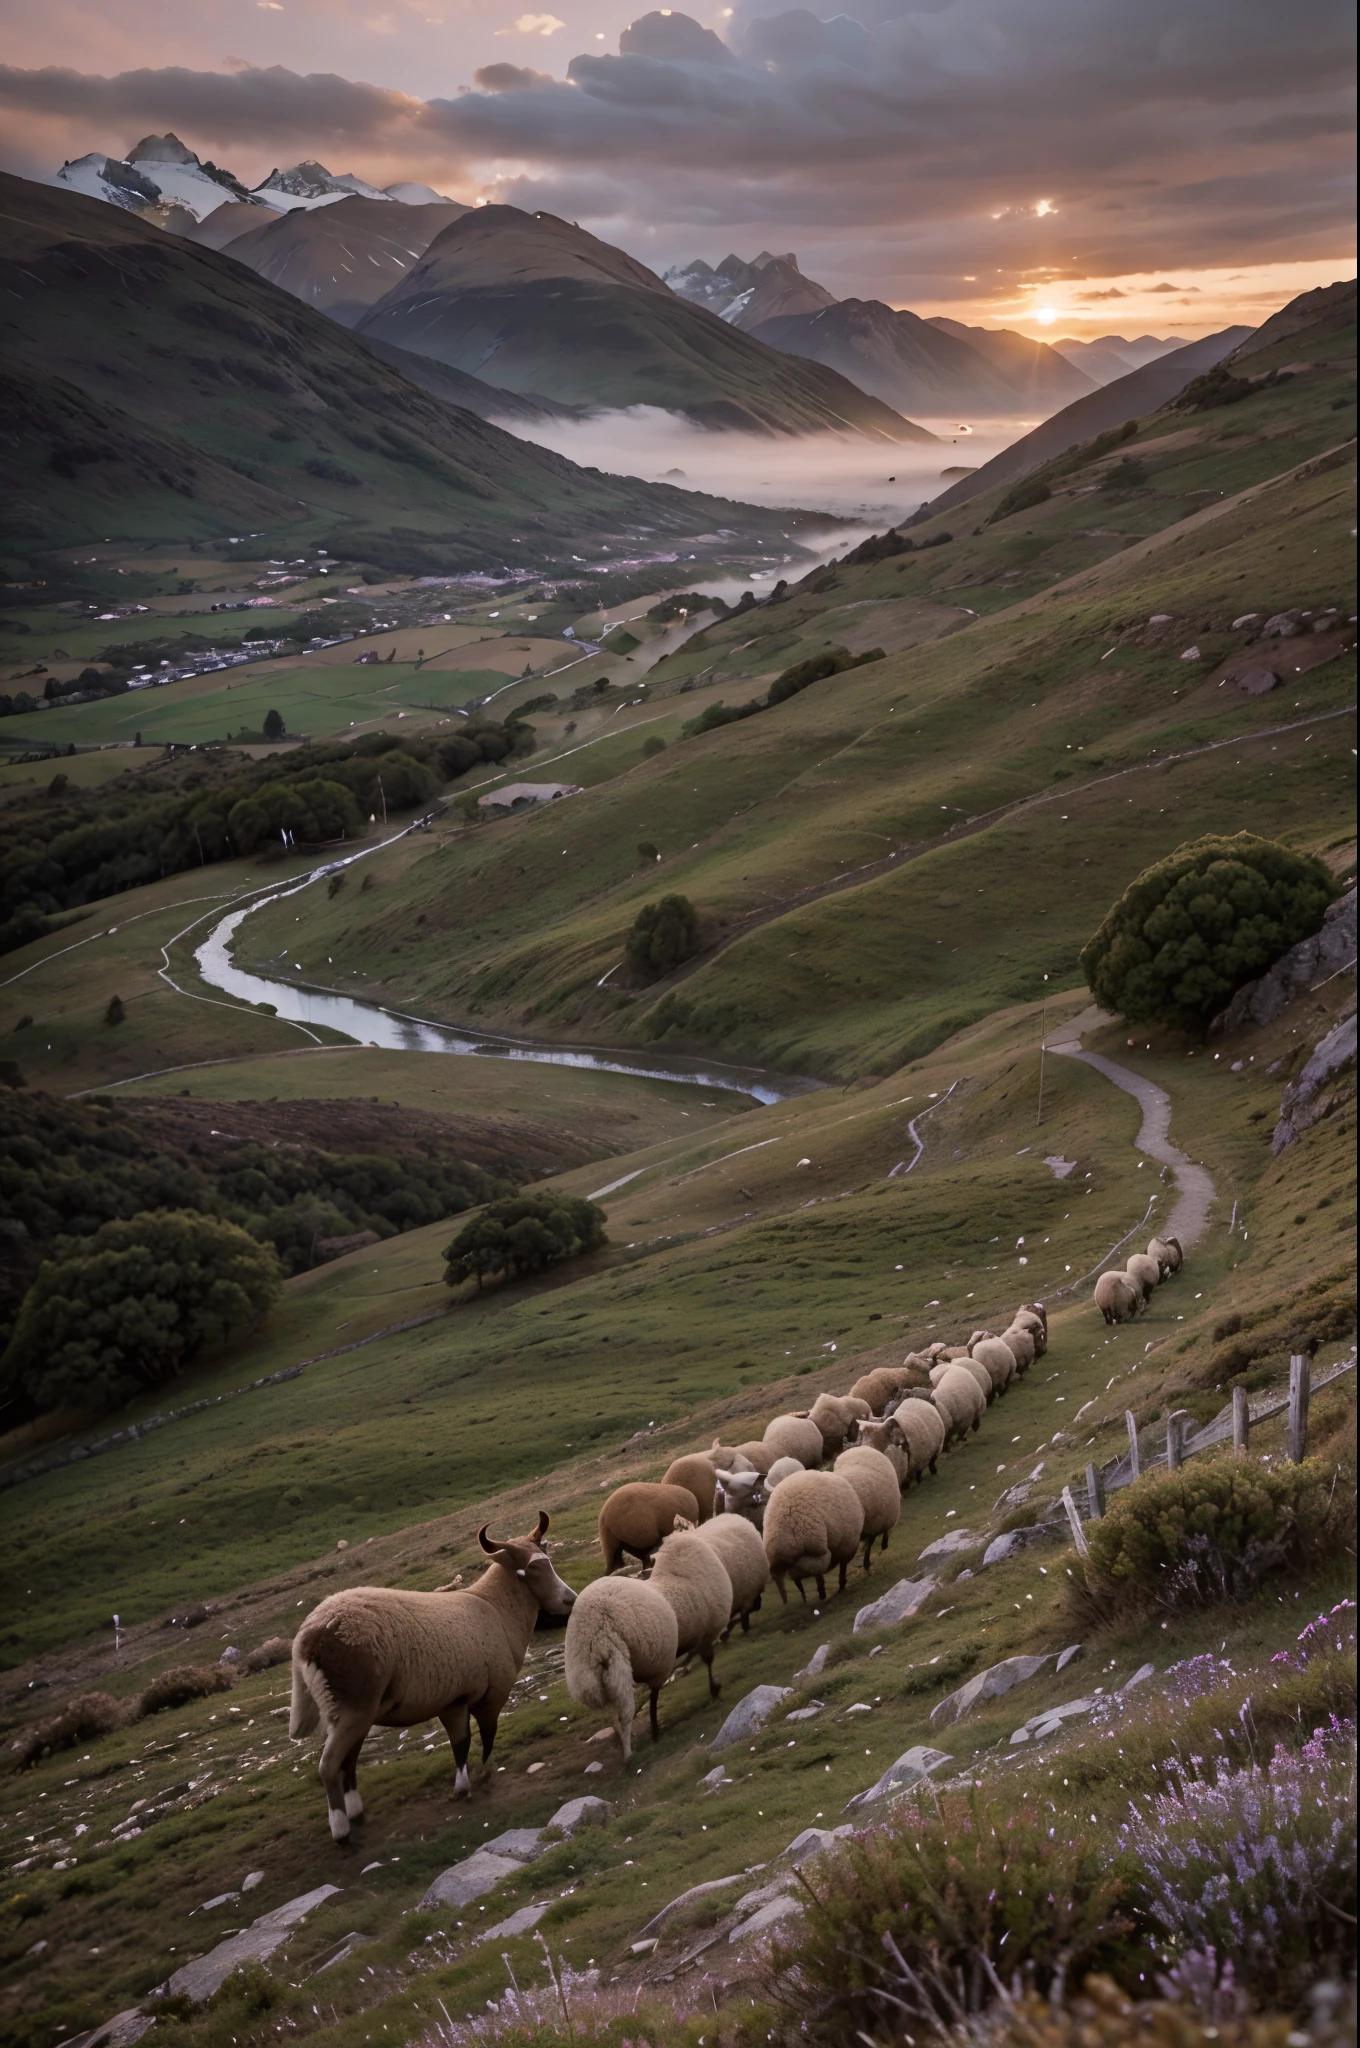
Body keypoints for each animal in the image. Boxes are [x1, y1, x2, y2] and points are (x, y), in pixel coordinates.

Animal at [290, 1507, 573, 1843]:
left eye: (546, 1556)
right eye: (532, 1568)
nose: (570, 1599)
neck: (495, 1607)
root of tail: (308, 1636)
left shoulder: (453, 1700)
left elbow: (460, 1743)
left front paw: (463, 1785)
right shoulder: (491, 1695)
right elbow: (486, 1738)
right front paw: (482, 1776)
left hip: (349, 1713)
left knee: (348, 1760)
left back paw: (355, 1811)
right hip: (353, 1708)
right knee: (329, 1765)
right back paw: (341, 1830)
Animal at [561, 1564, 675, 1761]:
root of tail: (592, 1635)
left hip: (591, 1679)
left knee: (614, 1717)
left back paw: (620, 1744)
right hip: (617, 1668)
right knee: (625, 1716)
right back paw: (628, 1753)